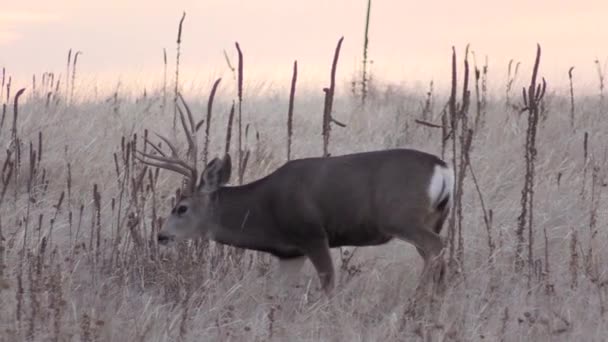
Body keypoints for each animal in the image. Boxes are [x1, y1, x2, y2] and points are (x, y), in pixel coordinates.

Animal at [137, 111, 452, 294]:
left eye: (181, 208)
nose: (161, 236)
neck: (264, 210)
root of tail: (443, 167)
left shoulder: (312, 234)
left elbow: (328, 283)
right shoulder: (289, 253)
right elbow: (281, 295)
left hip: (401, 217)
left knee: (436, 247)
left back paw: (416, 301)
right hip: (434, 218)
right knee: (435, 255)